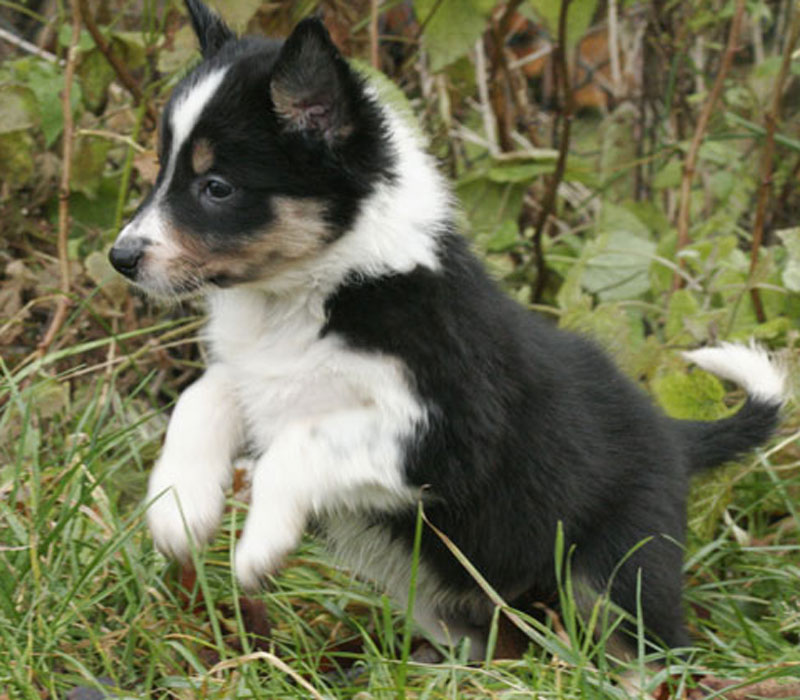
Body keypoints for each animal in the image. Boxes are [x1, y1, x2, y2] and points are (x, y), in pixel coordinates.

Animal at [109, 0, 784, 656]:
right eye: (162, 171)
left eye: (216, 187)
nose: (120, 258)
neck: (312, 295)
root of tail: (676, 436)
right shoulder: (260, 380)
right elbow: (200, 400)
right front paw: (178, 507)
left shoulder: (442, 431)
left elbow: (297, 446)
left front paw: (258, 547)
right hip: (438, 590)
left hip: (617, 571)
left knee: (653, 650)